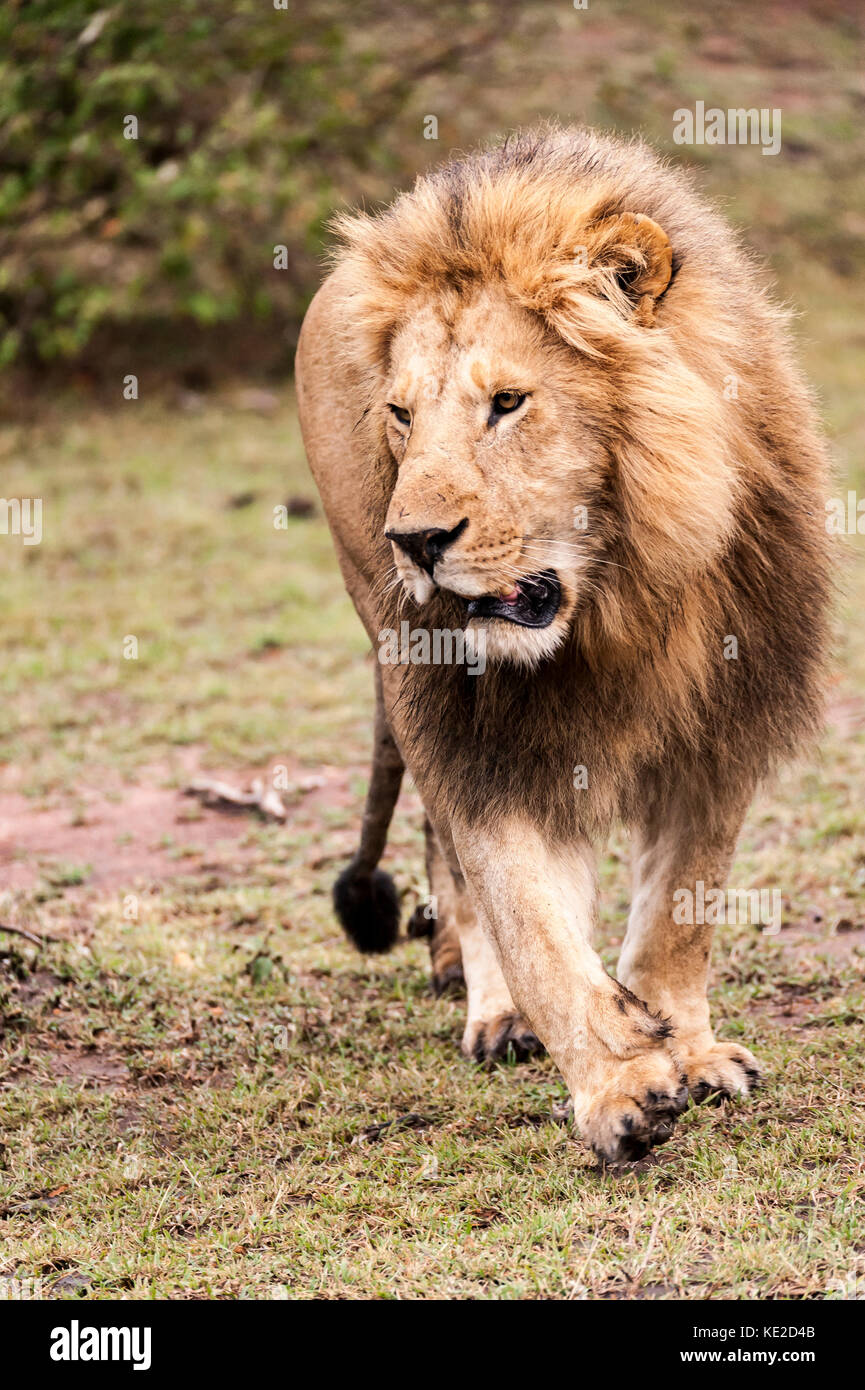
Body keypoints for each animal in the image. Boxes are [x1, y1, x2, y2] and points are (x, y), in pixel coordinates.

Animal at [296, 127, 834, 1162]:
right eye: (401, 414)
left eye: (508, 403)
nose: (414, 542)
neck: (616, 597)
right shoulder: (475, 736)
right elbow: (527, 917)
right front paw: (619, 1084)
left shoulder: (722, 725)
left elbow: (678, 913)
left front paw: (685, 1049)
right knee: (457, 860)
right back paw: (495, 1010)